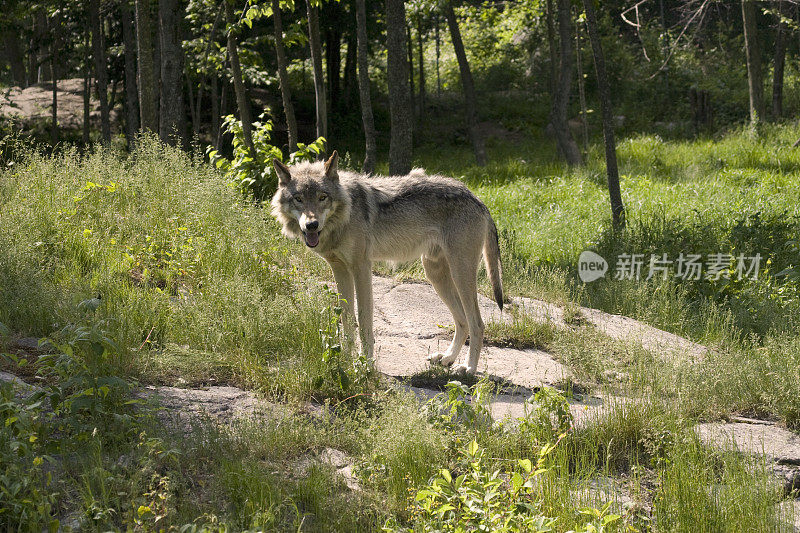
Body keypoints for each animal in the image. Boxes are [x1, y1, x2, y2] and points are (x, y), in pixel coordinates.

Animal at [272, 151, 504, 374]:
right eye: (298, 199)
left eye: (322, 197)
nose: (311, 225)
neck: (344, 216)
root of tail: (477, 199)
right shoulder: (339, 269)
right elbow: (346, 318)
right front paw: (345, 359)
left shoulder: (361, 268)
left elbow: (363, 320)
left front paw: (365, 364)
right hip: (435, 275)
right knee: (462, 321)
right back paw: (447, 358)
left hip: (460, 275)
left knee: (477, 324)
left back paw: (468, 368)